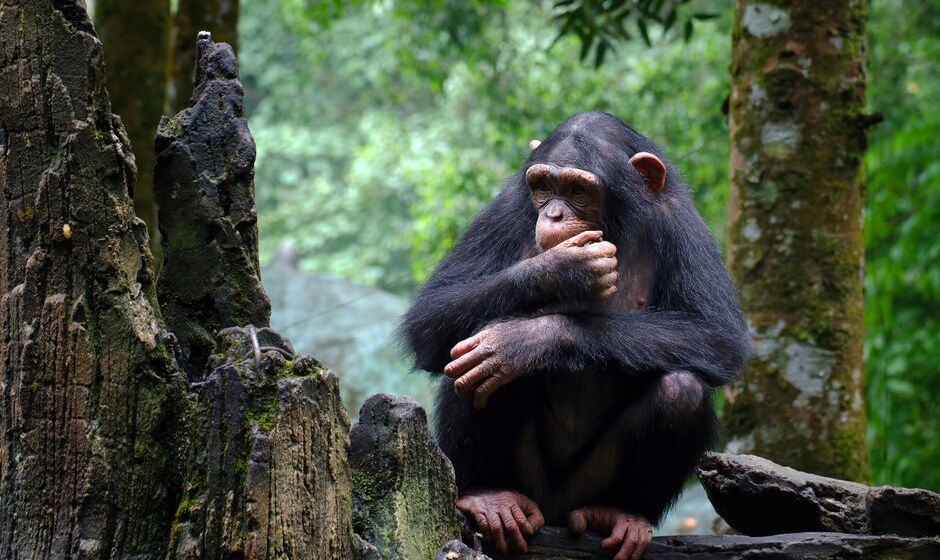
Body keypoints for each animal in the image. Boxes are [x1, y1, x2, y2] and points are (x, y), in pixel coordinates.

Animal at [398, 110, 748, 560]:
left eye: (579, 190)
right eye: (543, 187)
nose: (553, 216)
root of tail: (556, 514)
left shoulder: (683, 224)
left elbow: (716, 335)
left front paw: (524, 341)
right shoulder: (503, 210)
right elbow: (430, 316)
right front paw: (563, 270)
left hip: (586, 487)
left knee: (682, 390)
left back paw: (620, 513)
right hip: (529, 483)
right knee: (471, 352)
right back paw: (488, 494)